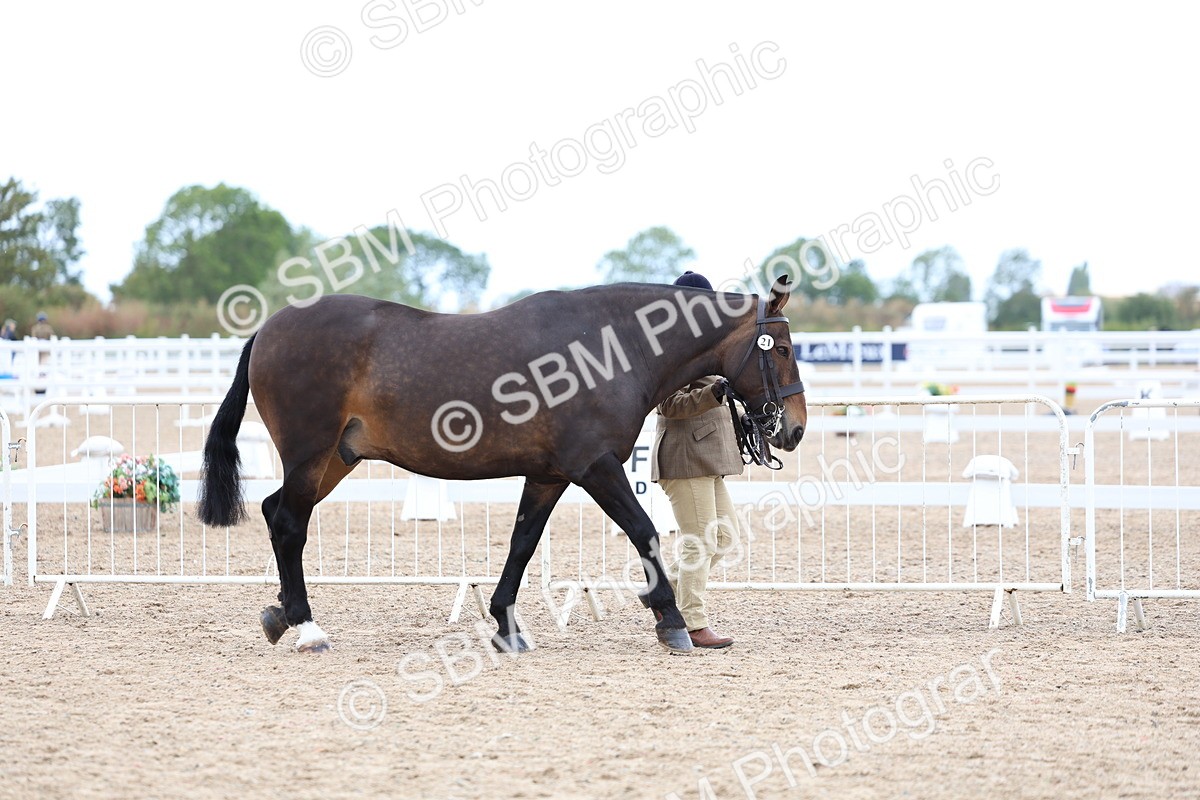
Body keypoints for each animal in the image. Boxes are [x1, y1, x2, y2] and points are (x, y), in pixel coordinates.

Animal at [197, 276, 807, 654]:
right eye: (779, 349)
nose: (795, 428)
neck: (609, 346)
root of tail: (269, 329)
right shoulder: (595, 467)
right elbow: (645, 531)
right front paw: (671, 622)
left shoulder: (548, 475)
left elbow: (522, 544)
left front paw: (506, 625)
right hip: (310, 454)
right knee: (287, 523)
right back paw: (306, 628)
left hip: (334, 461)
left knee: (276, 512)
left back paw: (279, 615)